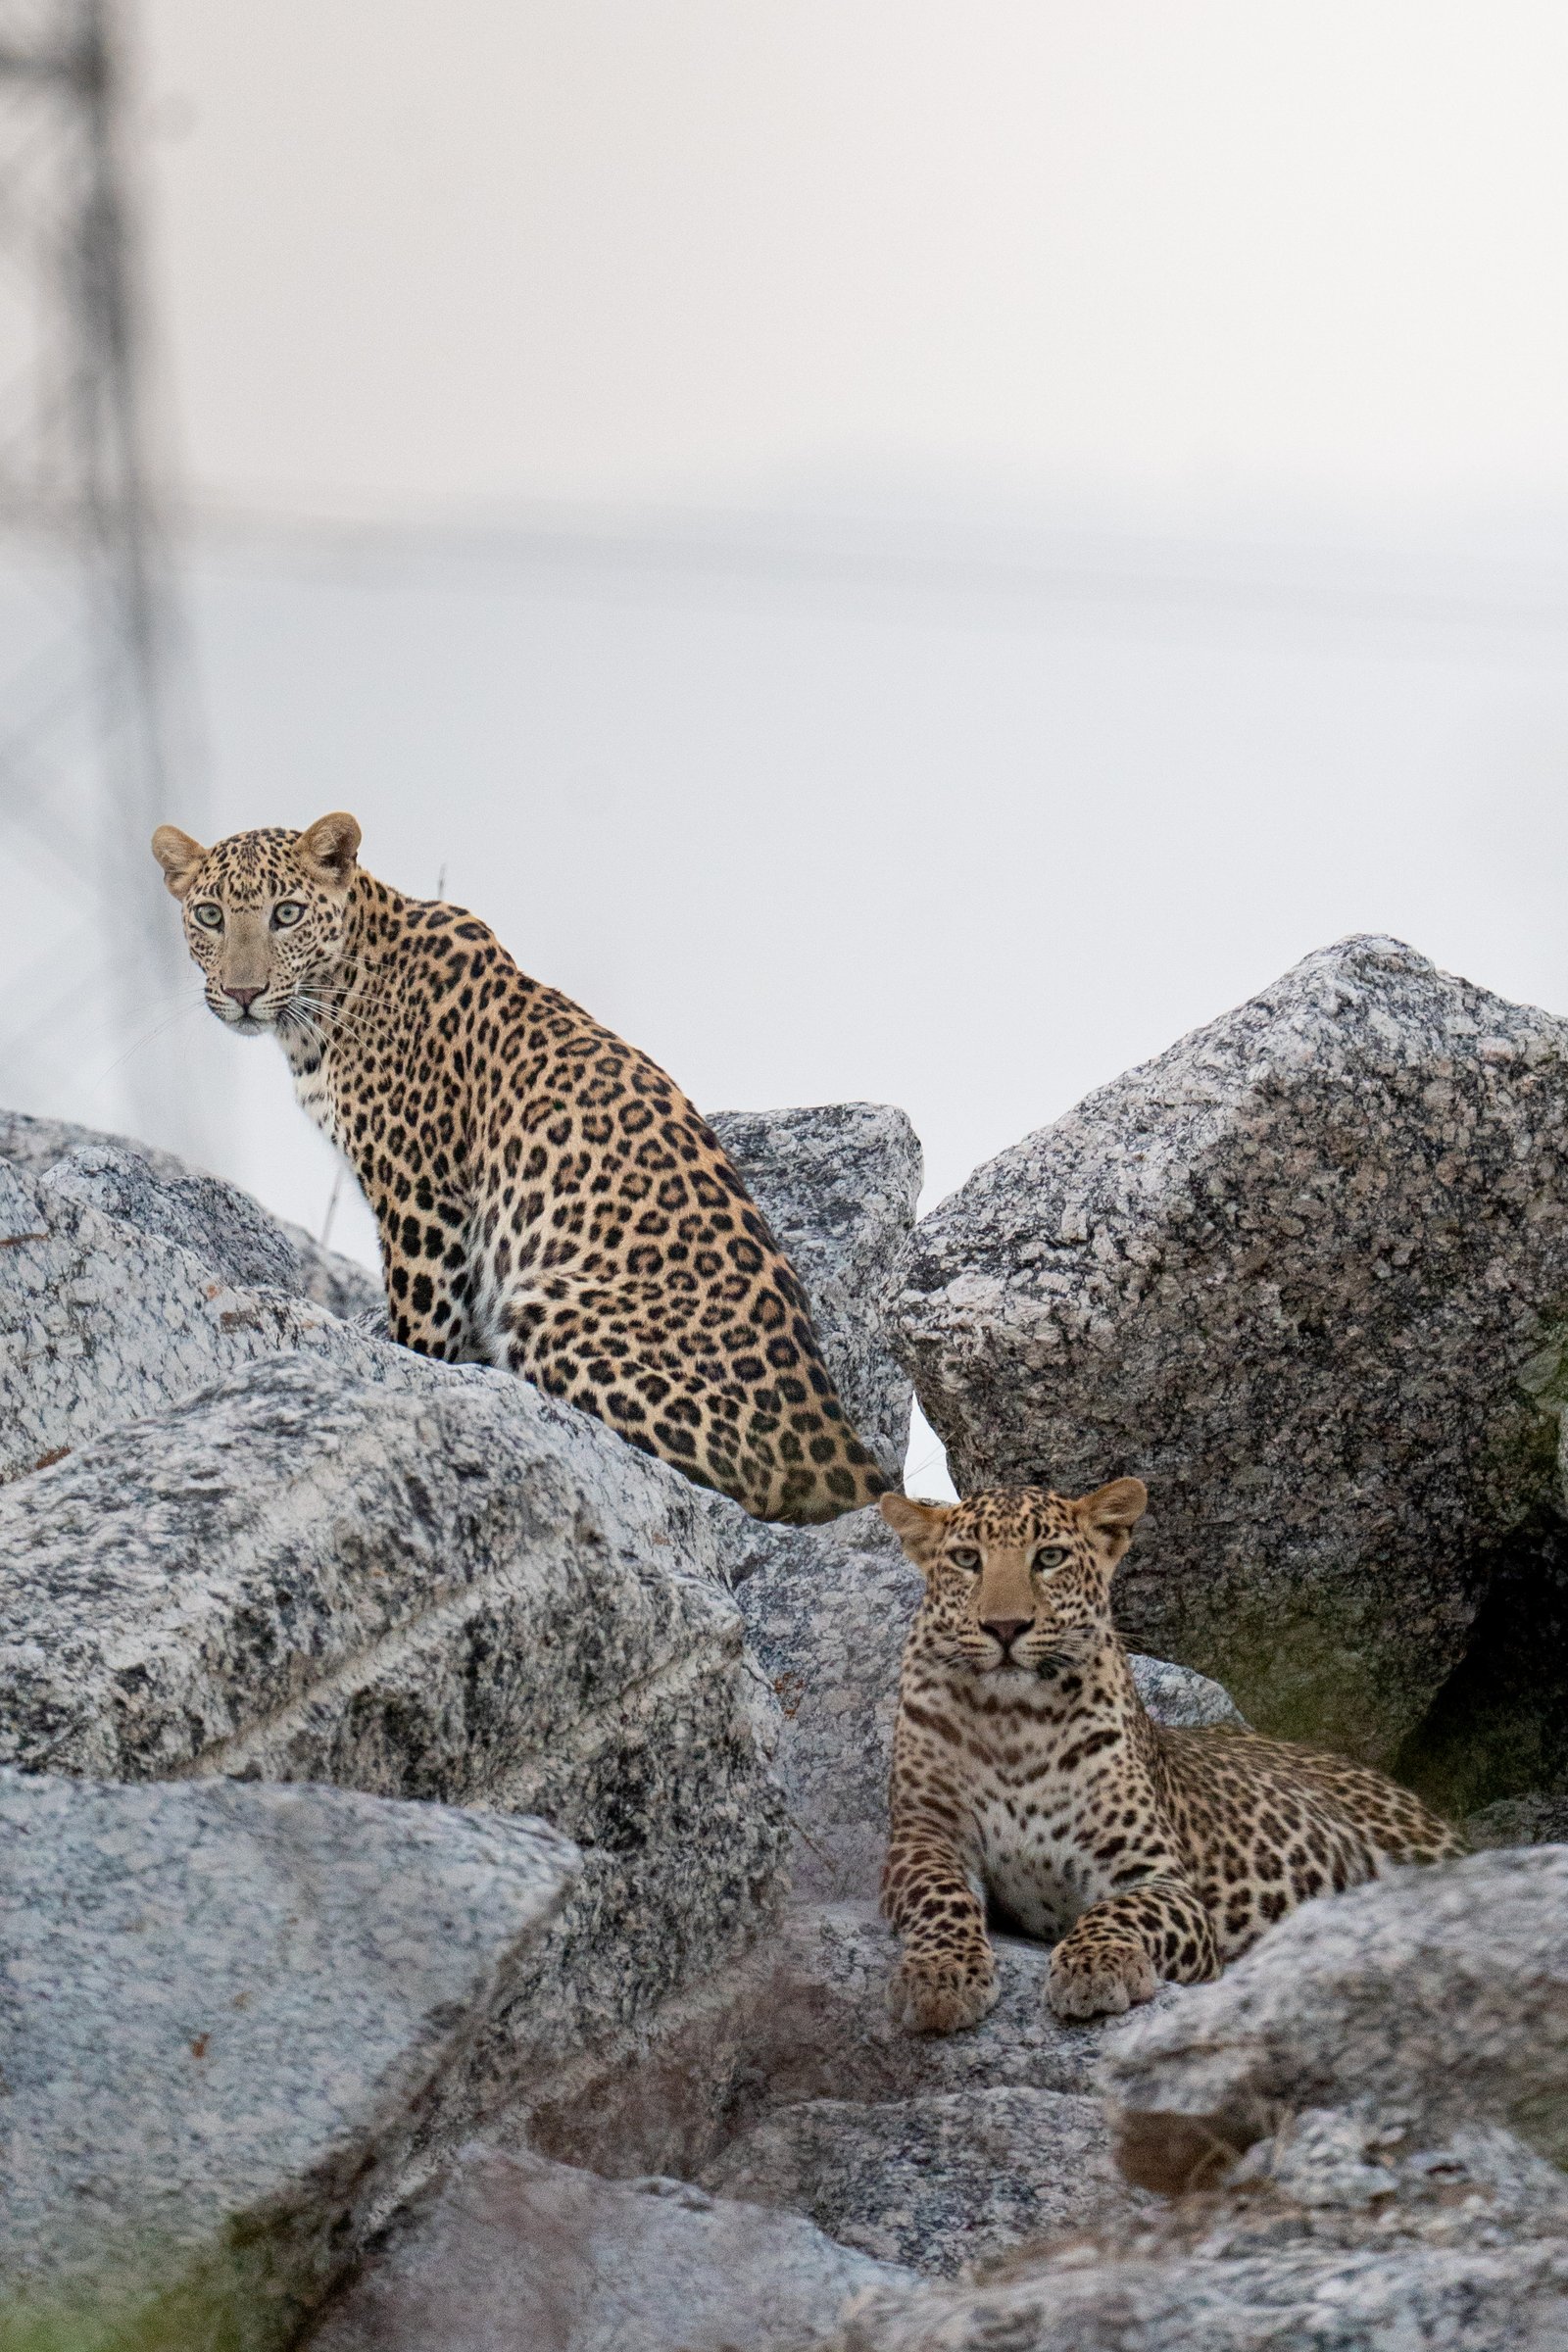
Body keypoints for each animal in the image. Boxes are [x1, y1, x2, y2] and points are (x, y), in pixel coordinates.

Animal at [150, 811, 888, 1524]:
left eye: (287, 913)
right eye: (210, 914)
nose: (244, 992)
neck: (329, 1002)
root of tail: (839, 1439)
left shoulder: (421, 1195)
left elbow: (422, 1329)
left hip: (550, 1306)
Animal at [878, 1478, 1464, 2031]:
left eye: (1049, 1557)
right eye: (966, 1559)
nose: (1004, 1626)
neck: (1012, 1721)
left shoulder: (1157, 1878)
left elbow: (1122, 1911)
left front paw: (1095, 1966)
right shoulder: (923, 1838)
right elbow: (941, 1896)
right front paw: (940, 1975)